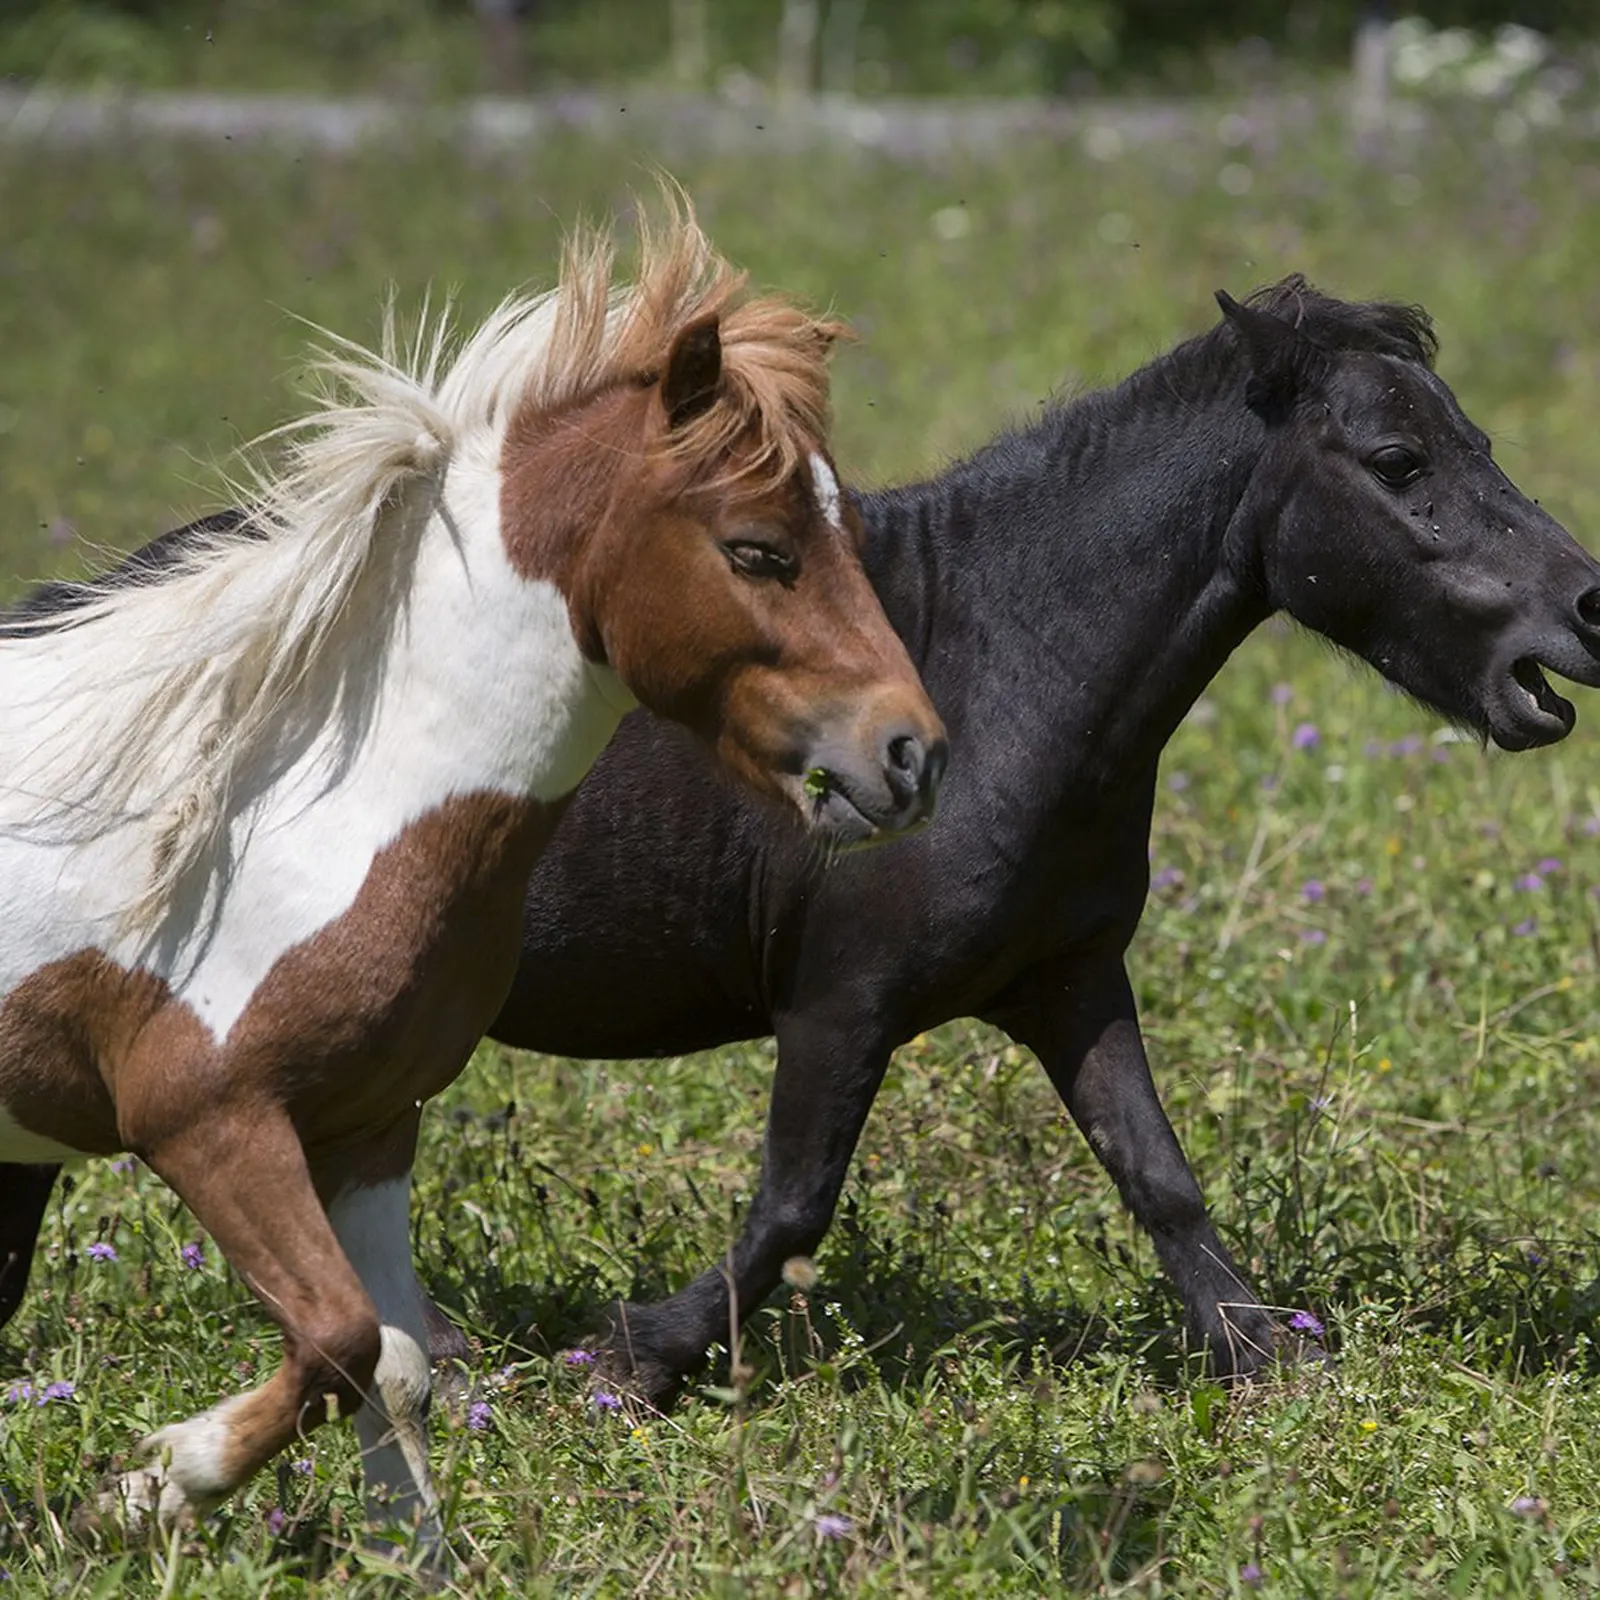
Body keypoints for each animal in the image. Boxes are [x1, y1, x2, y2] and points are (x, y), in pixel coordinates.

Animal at [0, 202, 945, 1550]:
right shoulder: (207, 1119)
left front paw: (407, 1550)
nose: (909, 755)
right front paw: (157, 1480)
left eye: (851, 536)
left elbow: (393, 1367)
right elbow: (335, 1340)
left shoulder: (365, 1127)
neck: (292, 814)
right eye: (758, 550)